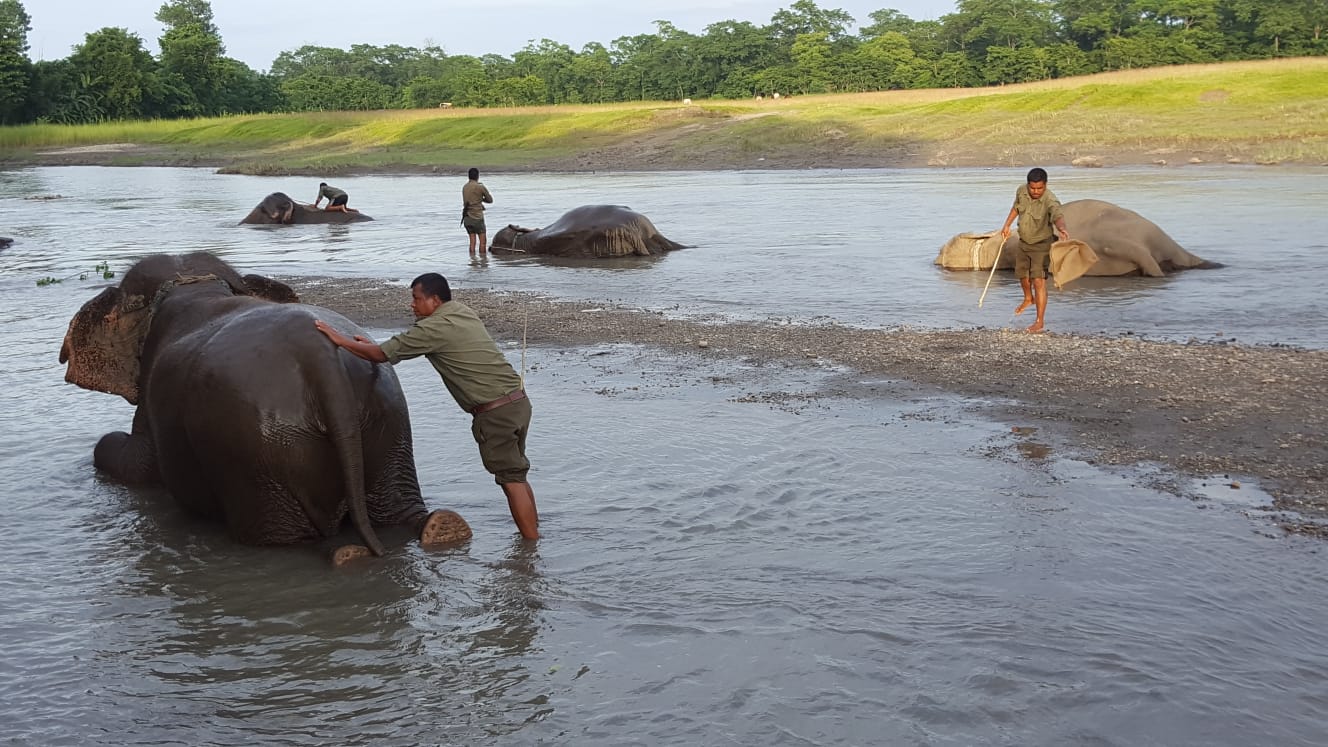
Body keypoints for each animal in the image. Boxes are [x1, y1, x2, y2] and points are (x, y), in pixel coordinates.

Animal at [58, 249, 472, 558]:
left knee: (283, 541)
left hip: (252, 454)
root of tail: (320, 357)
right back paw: (439, 528)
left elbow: (139, 464)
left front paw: (103, 445)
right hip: (386, 423)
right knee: (396, 508)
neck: (195, 286)